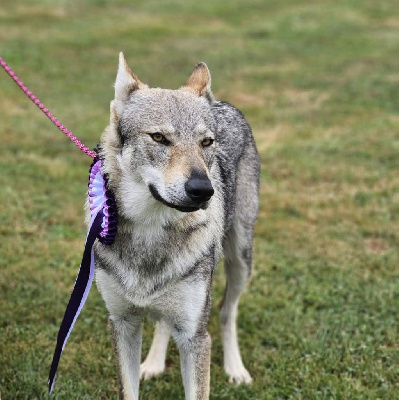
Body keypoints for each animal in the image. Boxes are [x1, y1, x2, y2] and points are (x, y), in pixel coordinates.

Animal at [93, 54, 262, 400]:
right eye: (159, 137)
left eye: (206, 142)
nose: (203, 190)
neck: (151, 231)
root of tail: (223, 103)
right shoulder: (122, 324)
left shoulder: (195, 336)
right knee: (163, 322)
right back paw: (154, 363)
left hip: (241, 261)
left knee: (227, 312)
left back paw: (235, 369)